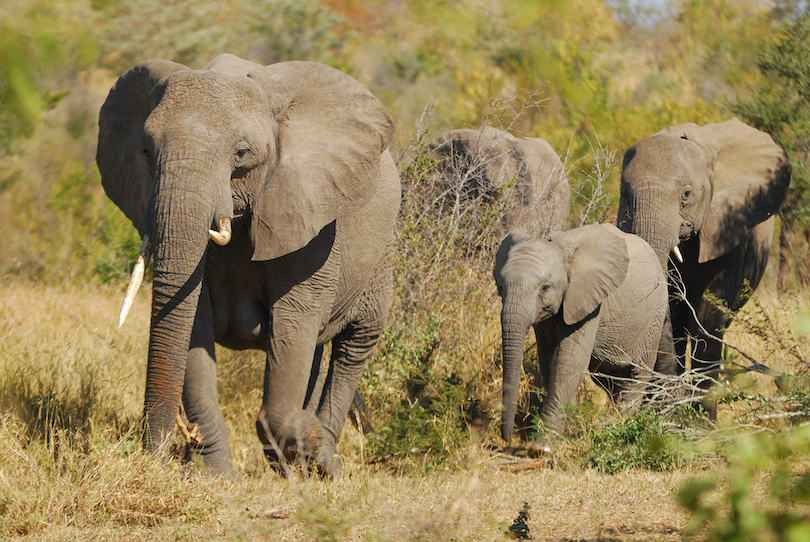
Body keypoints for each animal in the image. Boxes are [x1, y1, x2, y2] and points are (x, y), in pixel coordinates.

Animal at [96, 54, 400, 480]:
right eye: (146, 149)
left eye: (241, 153)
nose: (157, 457)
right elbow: (193, 327)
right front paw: (216, 476)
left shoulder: (312, 222)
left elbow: (294, 322)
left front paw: (308, 443)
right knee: (316, 353)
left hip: (380, 257)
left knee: (355, 344)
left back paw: (324, 460)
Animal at [492, 223, 664, 448]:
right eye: (501, 286)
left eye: (545, 287)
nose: (507, 438)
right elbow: (549, 363)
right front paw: (567, 423)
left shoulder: (588, 299)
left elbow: (569, 364)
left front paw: (542, 447)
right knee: (608, 379)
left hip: (655, 316)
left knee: (637, 374)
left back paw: (621, 424)